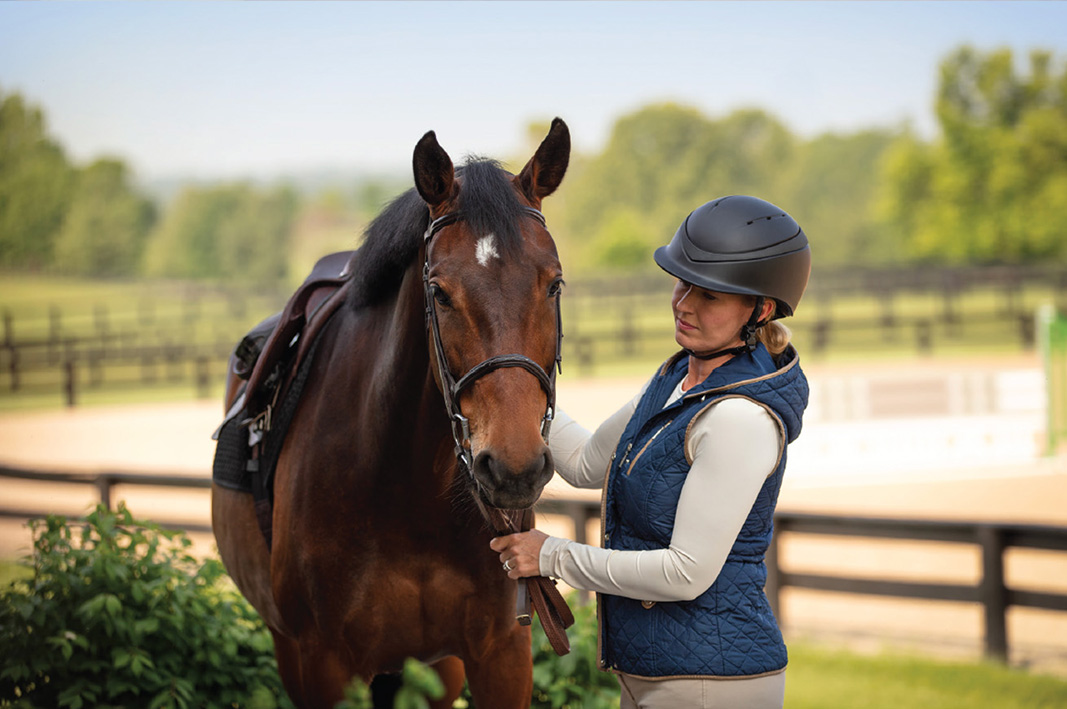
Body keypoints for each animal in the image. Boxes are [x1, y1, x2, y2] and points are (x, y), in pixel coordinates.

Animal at [211, 119, 571, 704]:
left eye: (554, 283)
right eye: (440, 292)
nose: (514, 467)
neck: (404, 488)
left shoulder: (501, 654)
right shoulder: (324, 666)